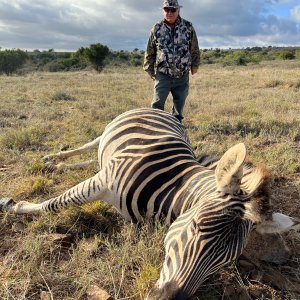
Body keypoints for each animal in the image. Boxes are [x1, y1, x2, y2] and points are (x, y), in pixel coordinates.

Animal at [1, 108, 298, 300]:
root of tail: (159, 111)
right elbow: (55, 203)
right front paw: (12, 204)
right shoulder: (103, 180)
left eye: (226, 259)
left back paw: (59, 165)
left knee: (92, 159)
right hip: (107, 131)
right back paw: (53, 159)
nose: (165, 299)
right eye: (196, 226)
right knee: (87, 147)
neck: (172, 189)